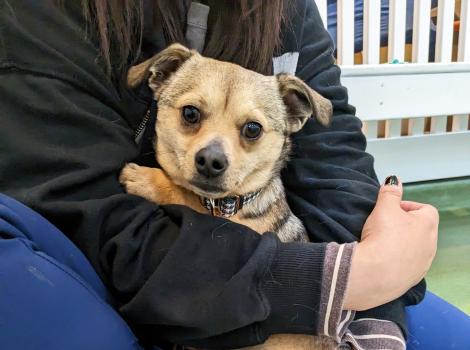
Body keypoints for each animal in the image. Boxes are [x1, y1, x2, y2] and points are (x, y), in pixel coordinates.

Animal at [119, 44, 336, 350]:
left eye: (253, 129)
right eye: (190, 113)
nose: (211, 160)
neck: (229, 206)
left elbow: (186, 196)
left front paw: (147, 179)